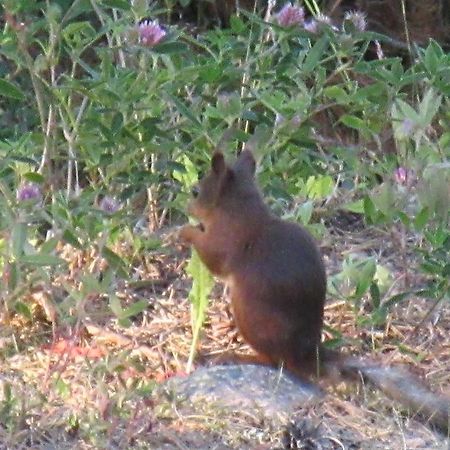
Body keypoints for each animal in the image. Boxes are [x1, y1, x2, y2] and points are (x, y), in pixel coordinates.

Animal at [179, 149, 450, 432]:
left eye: (196, 191)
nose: (187, 208)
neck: (239, 208)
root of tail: (310, 356)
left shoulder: (225, 239)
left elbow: (212, 256)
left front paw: (184, 232)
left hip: (251, 319)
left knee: (277, 362)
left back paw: (237, 357)